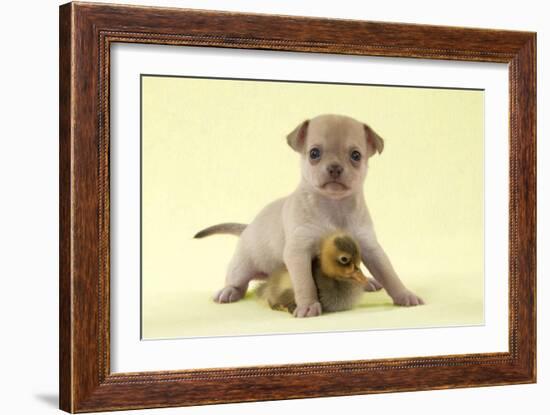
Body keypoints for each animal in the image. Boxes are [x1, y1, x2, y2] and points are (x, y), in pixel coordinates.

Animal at [196, 114, 424, 318]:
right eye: (314, 153)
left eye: (356, 156)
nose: (334, 168)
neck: (334, 207)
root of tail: (247, 227)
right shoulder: (298, 253)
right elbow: (305, 283)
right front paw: (308, 305)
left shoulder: (371, 248)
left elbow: (389, 274)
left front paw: (404, 294)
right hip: (242, 265)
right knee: (237, 281)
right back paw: (229, 291)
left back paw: (369, 282)